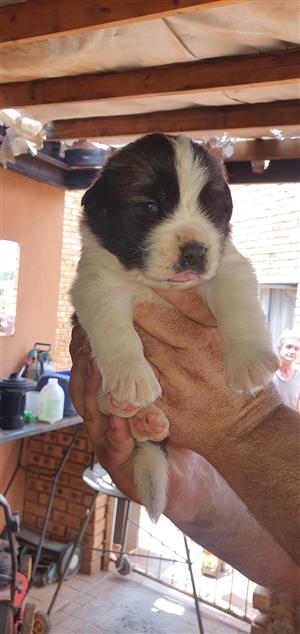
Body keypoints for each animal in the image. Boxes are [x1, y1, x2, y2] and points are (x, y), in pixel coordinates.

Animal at [71, 132, 278, 520]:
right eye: (150, 207)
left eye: (211, 207)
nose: (195, 251)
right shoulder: (96, 285)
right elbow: (117, 332)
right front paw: (133, 378)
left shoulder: (228, 267)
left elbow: (239, 306)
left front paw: (250, 363)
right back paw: (133, 411)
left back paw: (149, 422)